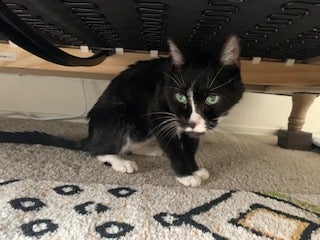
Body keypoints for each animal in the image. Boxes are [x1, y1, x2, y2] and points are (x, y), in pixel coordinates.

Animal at [0, 34, 244, 187]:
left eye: (212, 98)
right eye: (180, 96)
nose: (191, 122)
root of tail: (91, 134)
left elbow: (190, 145)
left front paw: (194, 167)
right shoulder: (158, 110)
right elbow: (173, 145)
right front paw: (185, 174)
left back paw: (149, 149)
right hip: (117, 111)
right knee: (98, 149)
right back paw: (120, 161)